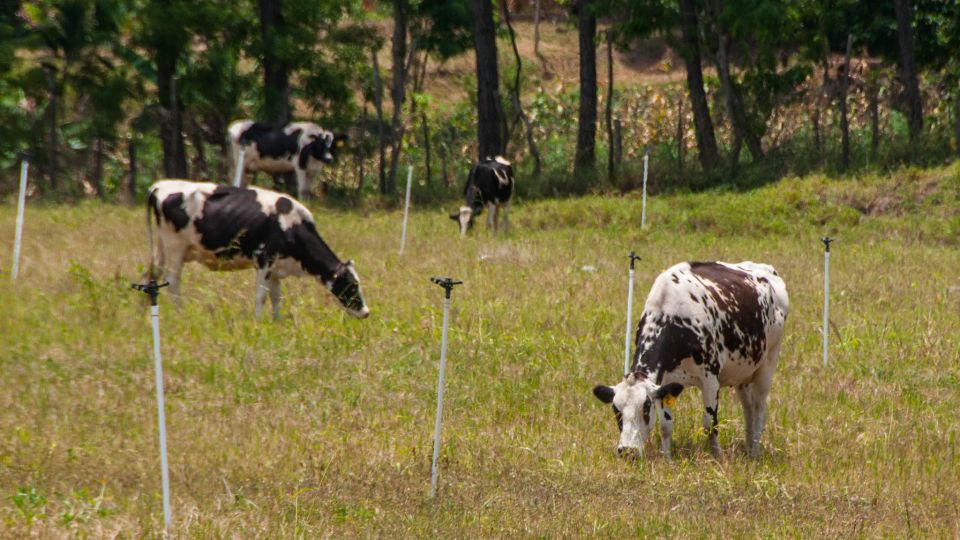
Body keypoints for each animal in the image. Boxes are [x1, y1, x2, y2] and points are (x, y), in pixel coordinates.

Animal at [148, 180, 370, 320]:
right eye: (351, 286)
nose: (366, 312)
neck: (290, 224)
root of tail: (159, 186)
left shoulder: (277, 268)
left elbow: (276, 297)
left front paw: (277, 321)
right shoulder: (265, 259)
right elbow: (262, 295)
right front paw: (257, 321)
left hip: (160, 247)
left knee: (152, 275)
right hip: (175, 247)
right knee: (173, 281)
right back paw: (180, 313)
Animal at [592, 262, 788, 460]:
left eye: (646, 408)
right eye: (616, 410)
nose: (627, 450)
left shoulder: (710, 378)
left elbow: (710, 424)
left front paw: (718, 457)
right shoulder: (665, 383)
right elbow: (665, 426)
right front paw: (667, 458)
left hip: (768, 362)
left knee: (759, 408)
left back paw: (754, 452)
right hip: (743, 373)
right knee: (749, 409)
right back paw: (748, 448)